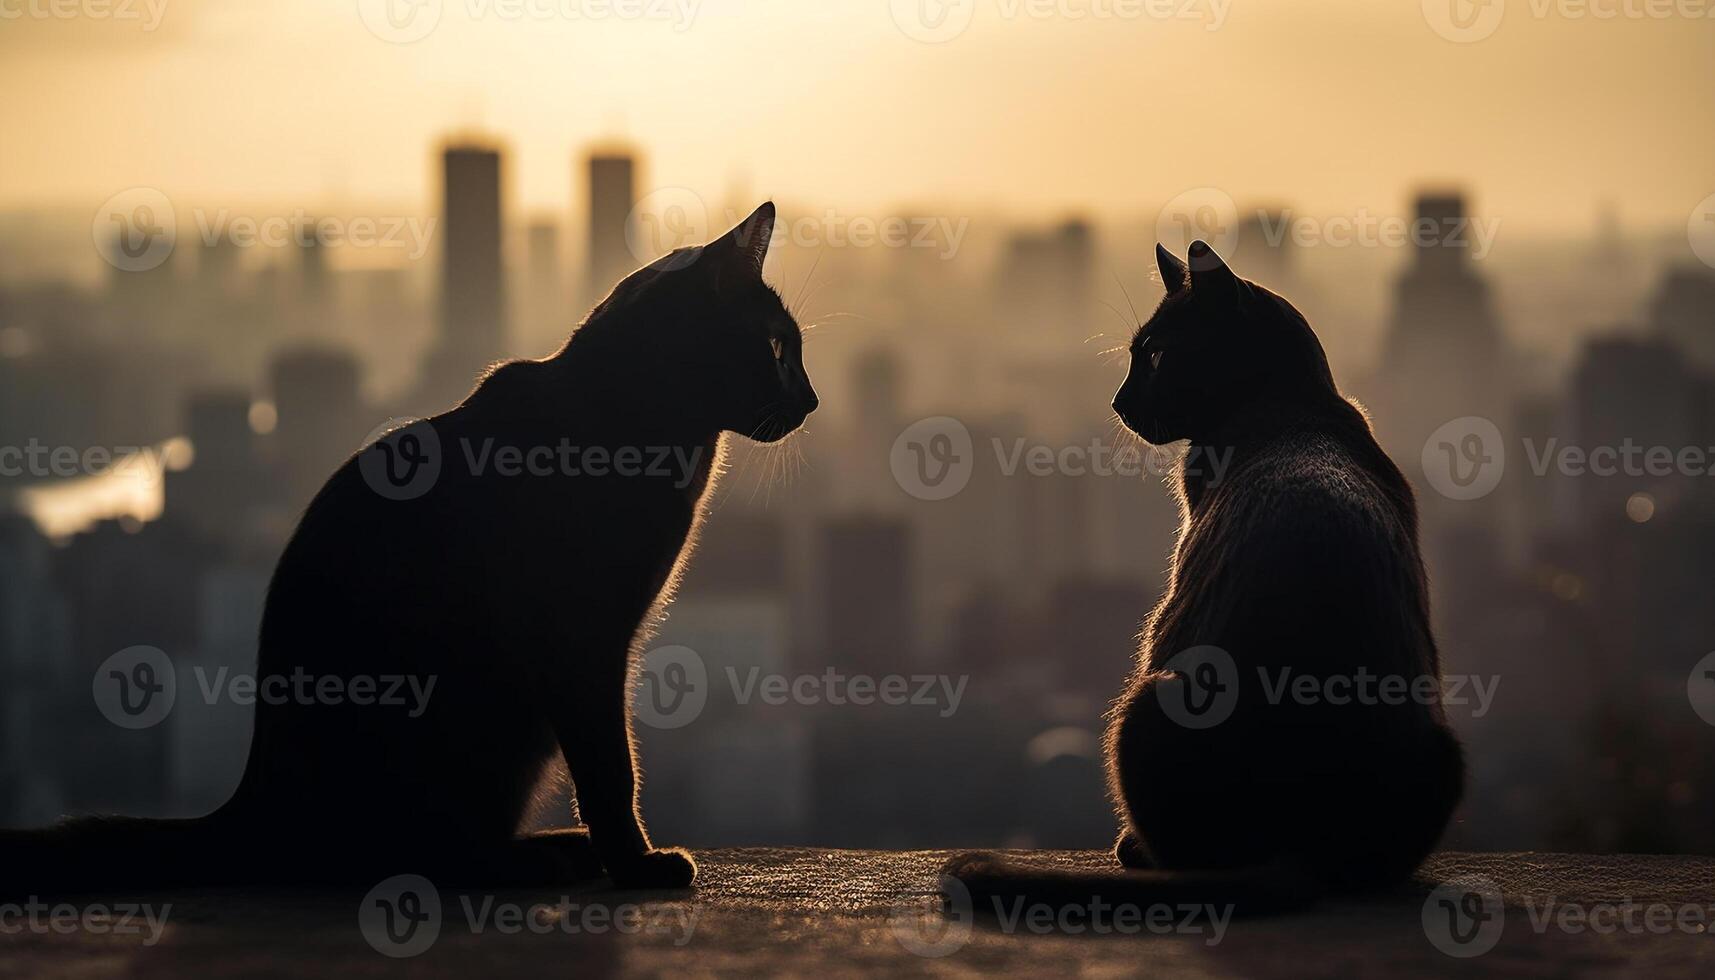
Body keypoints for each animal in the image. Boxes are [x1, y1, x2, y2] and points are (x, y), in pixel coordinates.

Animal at [1, 203, 816, 892]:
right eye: (779, 348)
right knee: (412, 853)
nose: (810, 402)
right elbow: (612, 767)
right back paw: (539, 860)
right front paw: (637, 864)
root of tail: (251, 805)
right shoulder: (584, 642)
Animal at [946, 241, 1468, 919]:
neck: (1295, 406)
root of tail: (1297, 844)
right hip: (1446, 751)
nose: (1117, 402)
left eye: (1156, 355)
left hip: (1144, 703)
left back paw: (1134, 850)